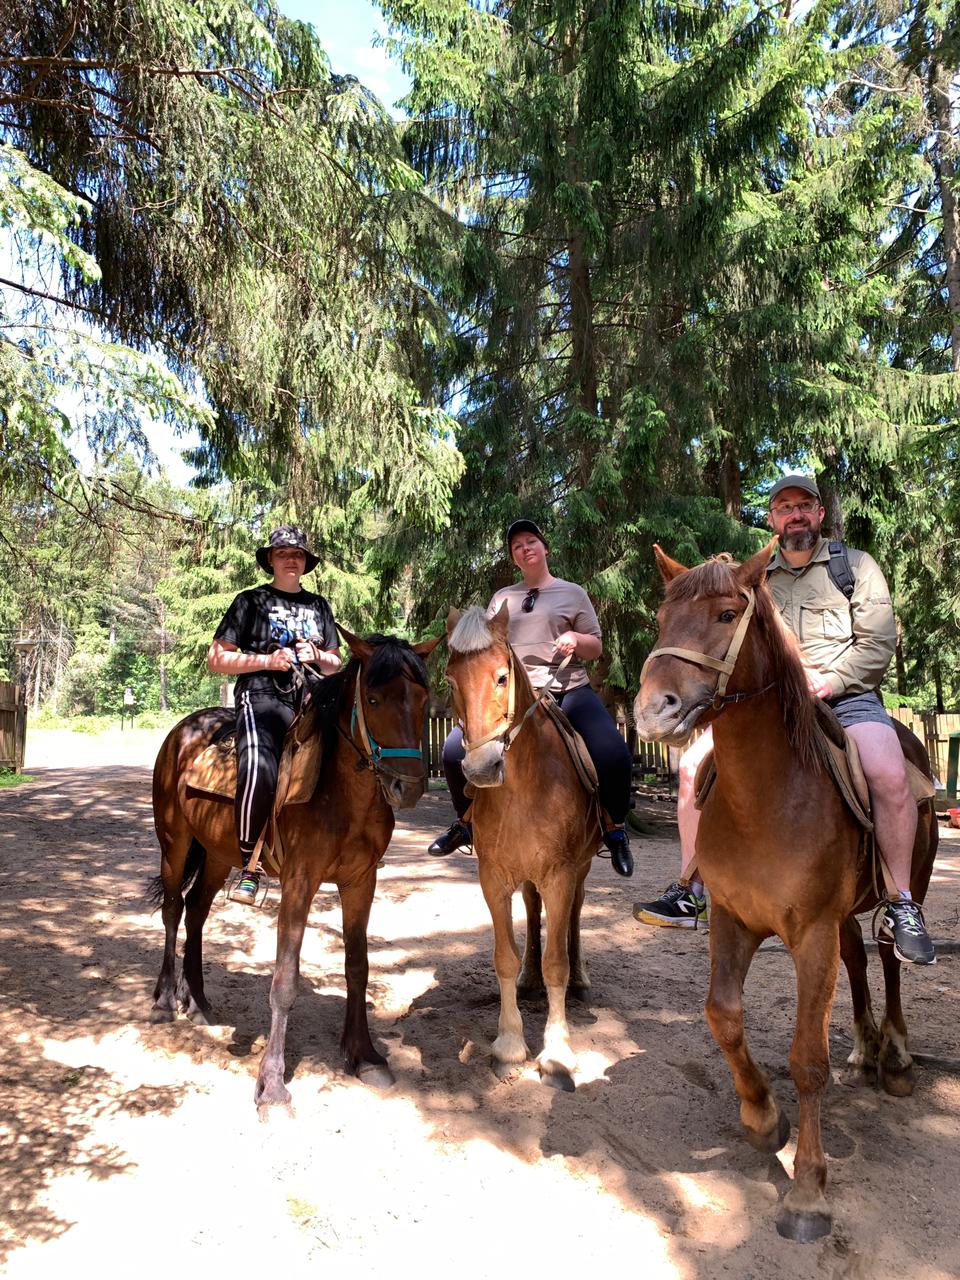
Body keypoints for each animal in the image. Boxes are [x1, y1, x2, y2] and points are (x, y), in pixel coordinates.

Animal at [150, 629, 440, 1111]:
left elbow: (357, 966)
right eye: (374, 698)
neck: (342, 797)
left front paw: (364, 1055)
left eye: (421, 697)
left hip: (216, 855)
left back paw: (199, 1002)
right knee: (173, 910)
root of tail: (183, 732)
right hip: (174, 844)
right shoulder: (299, 883)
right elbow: (285, 981)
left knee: (196, 912)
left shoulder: (361, 881)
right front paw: (271, 1083)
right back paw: (164, 1000)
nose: (408, 786)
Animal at [445, 606, 601, 1090]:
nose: (482, 767)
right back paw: (531, 977)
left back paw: (582, 977)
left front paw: (557, 1052)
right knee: (533, 913)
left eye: (501, 677)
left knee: (574, 914)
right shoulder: (493, 877)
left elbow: (557, 964)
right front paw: (510, 1042)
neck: (523, 788)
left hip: (581, 869)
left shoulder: (561, 874)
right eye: (450, 681)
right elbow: (504, 958)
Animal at [634, 540, 936, 1239]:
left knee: (889, 959)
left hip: (901, 890)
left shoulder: (811, 934)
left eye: (725, 614)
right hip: (841, 920)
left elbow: (807, 1059)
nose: (652, 710)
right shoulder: (734, 921)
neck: (767, 799)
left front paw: (807, 1193)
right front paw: (763, 1118)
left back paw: (895, 1055)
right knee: (859, 963)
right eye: (662, 619)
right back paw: (865, 1048)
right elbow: (722, 1015)